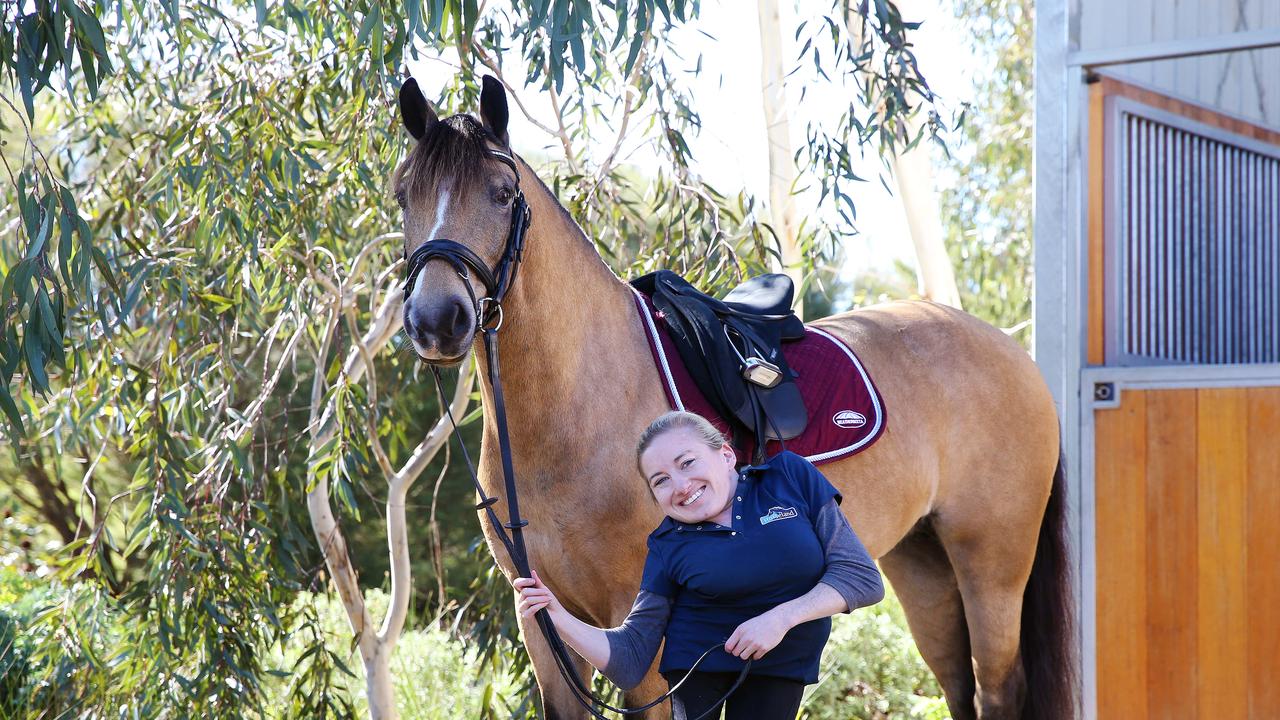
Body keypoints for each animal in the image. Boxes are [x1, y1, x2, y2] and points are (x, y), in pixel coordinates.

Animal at [394, 74, 1075, 717]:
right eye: (404, 196)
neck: (575, 414)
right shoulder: (542, 620)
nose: (437, 321)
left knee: (998, 689)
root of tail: (1013, 352)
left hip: (992, 565)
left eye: (503, 194)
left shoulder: (639, 625)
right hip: (923, 566)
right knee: (960, 689)